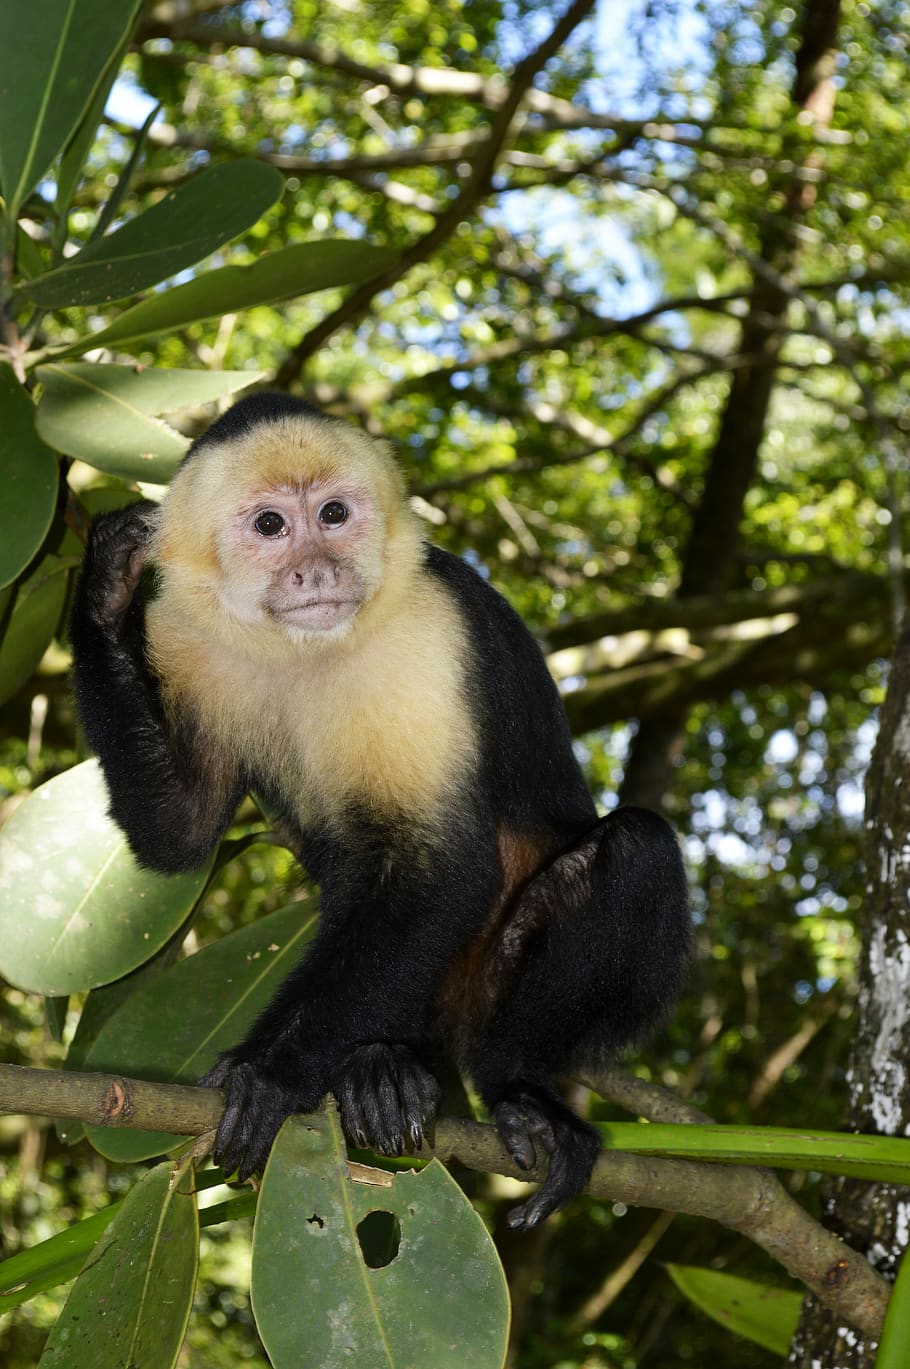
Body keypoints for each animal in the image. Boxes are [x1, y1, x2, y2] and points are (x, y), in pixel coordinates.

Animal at [70, 392, 690, 1230]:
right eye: (271, 525)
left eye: (334, 513)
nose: (318, 568)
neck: (306, 647)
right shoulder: (183, 634)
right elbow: (180, 834)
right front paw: (104, 589)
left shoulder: (427, 632)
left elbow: (438, 867)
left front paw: (269, 1073)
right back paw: (384, 1066)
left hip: (476, 986)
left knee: (636, 853)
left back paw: (513, 1088)